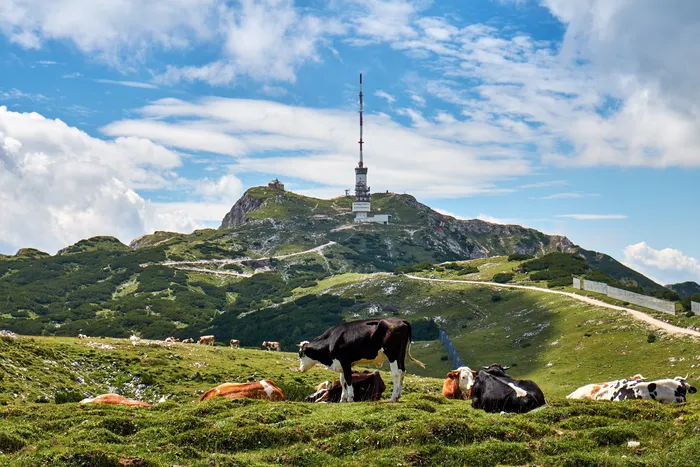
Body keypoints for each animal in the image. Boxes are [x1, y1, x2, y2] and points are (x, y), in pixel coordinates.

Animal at [296, 320, 424, 404]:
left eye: (300, 354)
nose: (300, 369)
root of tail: (400, 320)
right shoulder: (341, 363)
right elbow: (342, 380)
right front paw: (342, 399)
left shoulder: (345, 361)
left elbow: (348, 379)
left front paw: (350, 398)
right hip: (400, 354)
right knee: (403, 371)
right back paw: (398, 396)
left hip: (392, 353)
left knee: (396, 373)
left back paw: (393, 398)